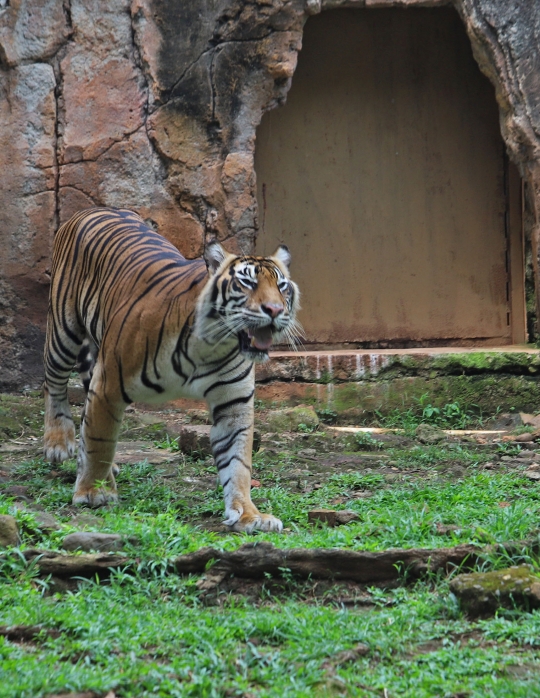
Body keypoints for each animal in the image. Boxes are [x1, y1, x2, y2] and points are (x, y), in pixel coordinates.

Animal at [43, 205, 300, 528]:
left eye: (281, 286)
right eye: (247, 283)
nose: (275, 310)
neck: (212, 345)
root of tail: (97, 208)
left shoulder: (234, 403)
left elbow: (238, 460)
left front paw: (249, 514)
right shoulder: (108, 385)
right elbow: (100, 438)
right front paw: (93, 493)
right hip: (63, 330)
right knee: (53, 383)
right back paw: (58, 442)